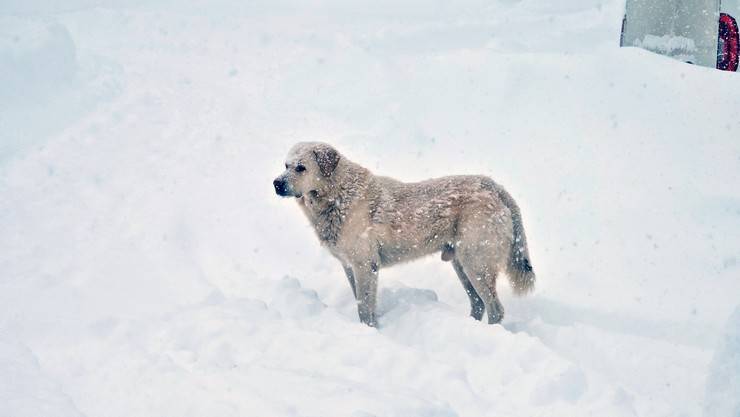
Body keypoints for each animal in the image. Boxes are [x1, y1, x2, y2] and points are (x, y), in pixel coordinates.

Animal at [270, 141, 532, 326]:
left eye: (301, 168)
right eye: (285, 165)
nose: (276, 183)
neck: (336, 195)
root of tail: (496, 188)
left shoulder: (365, 265)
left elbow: (364, 307)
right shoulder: (349, 266)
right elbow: (362, 302)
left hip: (475, 262)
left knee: (495, 309)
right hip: (461, 263)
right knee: (478, 304)